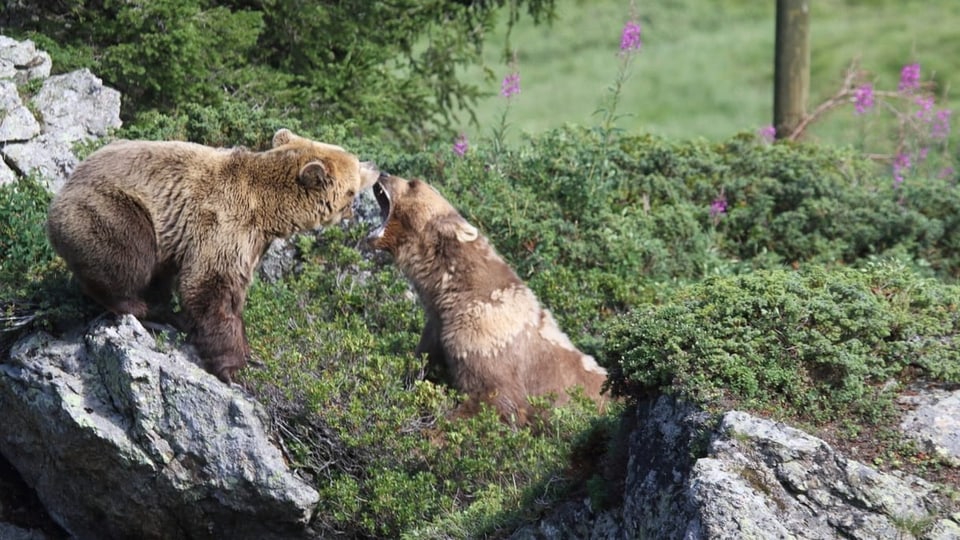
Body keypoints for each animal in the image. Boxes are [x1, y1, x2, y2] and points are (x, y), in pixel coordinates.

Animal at [47, 129, 378, 382]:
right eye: (354, 172)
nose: (375, 167)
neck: (268, 211)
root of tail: (62, 190)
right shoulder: (224, 224)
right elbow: (209, 286)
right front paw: (232, 367)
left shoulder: (251, 244)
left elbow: (234, 294)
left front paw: (249, 353)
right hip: (113, 208)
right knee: (130, 256)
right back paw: (140, 307)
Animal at [368, 175, 608, 424]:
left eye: (414, 183)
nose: (383, 174)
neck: (451, 293)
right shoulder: (437, 329)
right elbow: (422, 364)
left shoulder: (483, 336)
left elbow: (494, 398)